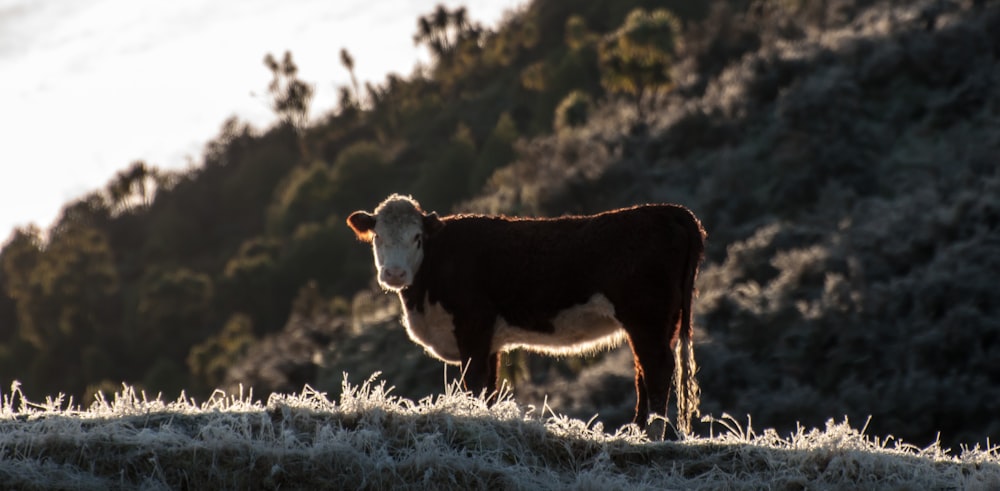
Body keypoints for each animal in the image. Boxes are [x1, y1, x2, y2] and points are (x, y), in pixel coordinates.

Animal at [348, 194, 708, 436]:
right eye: (378, 236)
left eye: (417, 237)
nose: (394, 274)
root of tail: (670, 211)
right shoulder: (489, 341)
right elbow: (489, 388)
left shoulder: (472, 327)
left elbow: (474, 382)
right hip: (661, 322)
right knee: (643, 371)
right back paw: (635, 432)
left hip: (646, 317)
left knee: (657, 369)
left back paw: (651, 434)